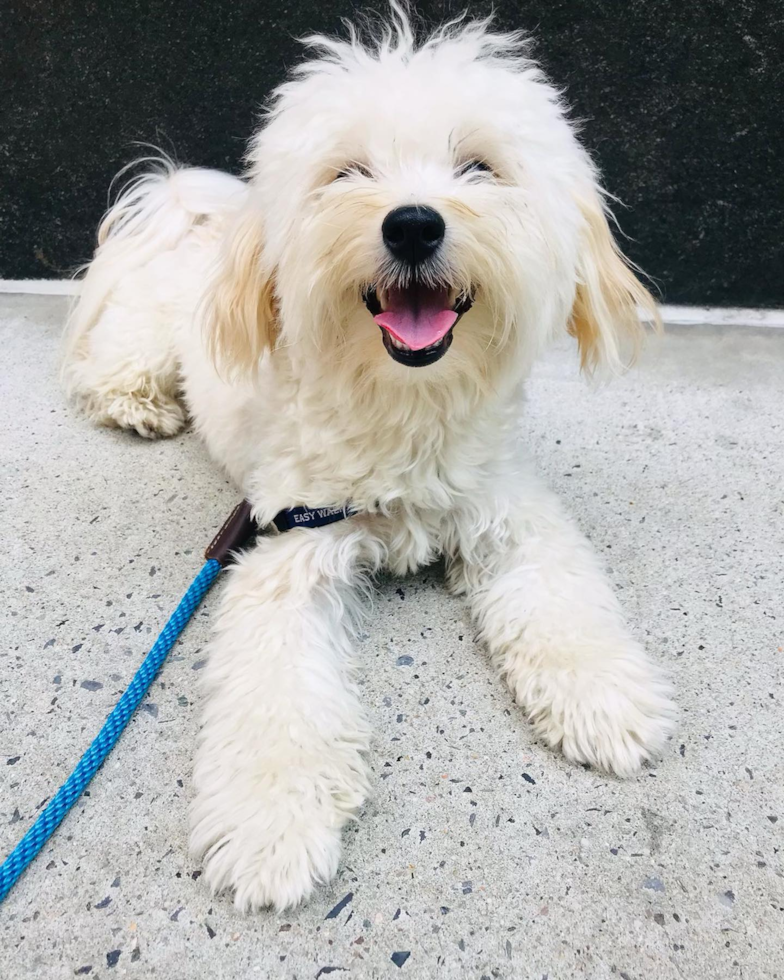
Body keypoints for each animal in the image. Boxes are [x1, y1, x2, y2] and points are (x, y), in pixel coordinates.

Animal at [62, 7, 672, 912]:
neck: (404, 405)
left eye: (479, 166)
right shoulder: (285, 550)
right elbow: (276, 692)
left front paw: (599, 695)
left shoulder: (510, 511)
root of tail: (190, 214)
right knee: (113, 369)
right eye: (348, 171)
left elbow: (564, 604)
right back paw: (140, 405)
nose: (413, 223)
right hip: (145, 340)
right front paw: (270, 825)